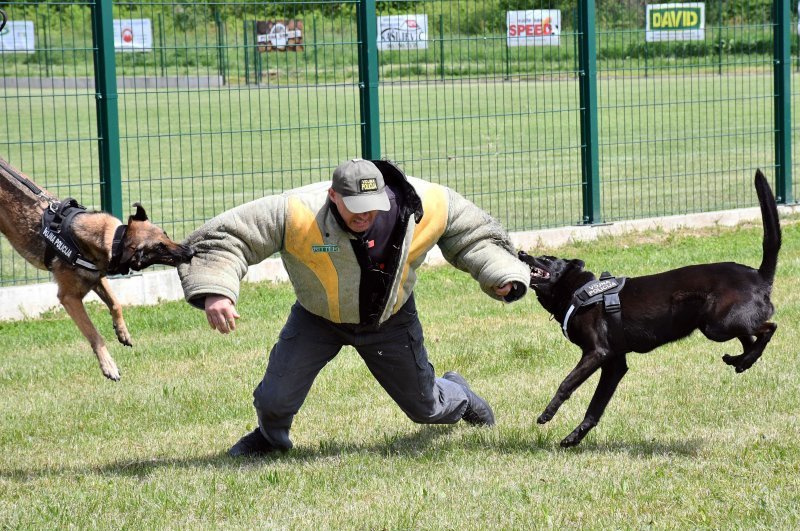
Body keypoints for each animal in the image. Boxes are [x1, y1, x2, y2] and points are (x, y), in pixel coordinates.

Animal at [0, 156, 194, 380]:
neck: (112, 240)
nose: (190, 252)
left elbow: (116, 303)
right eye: (159, 248)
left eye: (166, 235)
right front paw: (108, 365)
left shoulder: (97, 279)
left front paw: (122, 332)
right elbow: (95, 334)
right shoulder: (70, 299)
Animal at [520, 170, 780, 448]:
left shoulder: (597, 353)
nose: (522, 252)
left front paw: (547, 414)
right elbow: (595, 408)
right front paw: (574, 437)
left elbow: (566, 383)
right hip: (722, 323)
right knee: (750, 338)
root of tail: (758, 275)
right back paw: (740, 361)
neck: (577, 290)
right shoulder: (614, 364)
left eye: (546, 259)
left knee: (768, 328)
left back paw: (745, 358)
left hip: (717, 326)